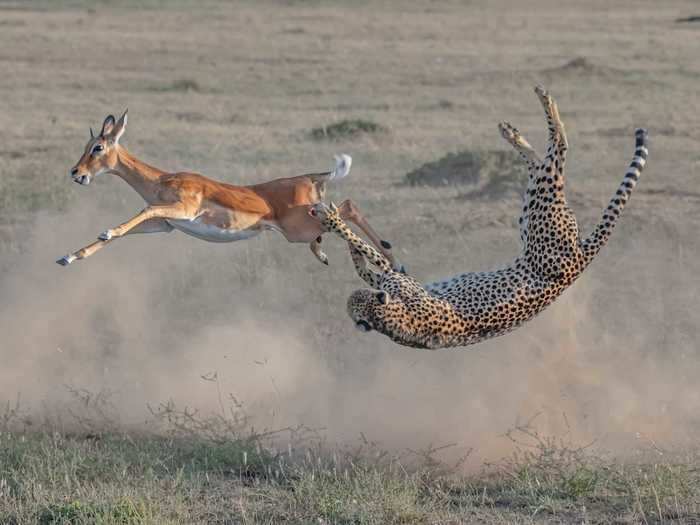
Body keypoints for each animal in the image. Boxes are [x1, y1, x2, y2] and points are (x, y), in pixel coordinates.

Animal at [308, 85, 648, 348]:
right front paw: (341, 232)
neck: (393, 322)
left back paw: (535, 109)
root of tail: (580, 259)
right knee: (547, 162)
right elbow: (369, 261)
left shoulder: (399, 279)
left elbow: (371, 253)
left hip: (541, 214)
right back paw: (517, 130)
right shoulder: (395, 279)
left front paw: (333, 220)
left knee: (558, 151)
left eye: (357, 298)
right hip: (535, 213)